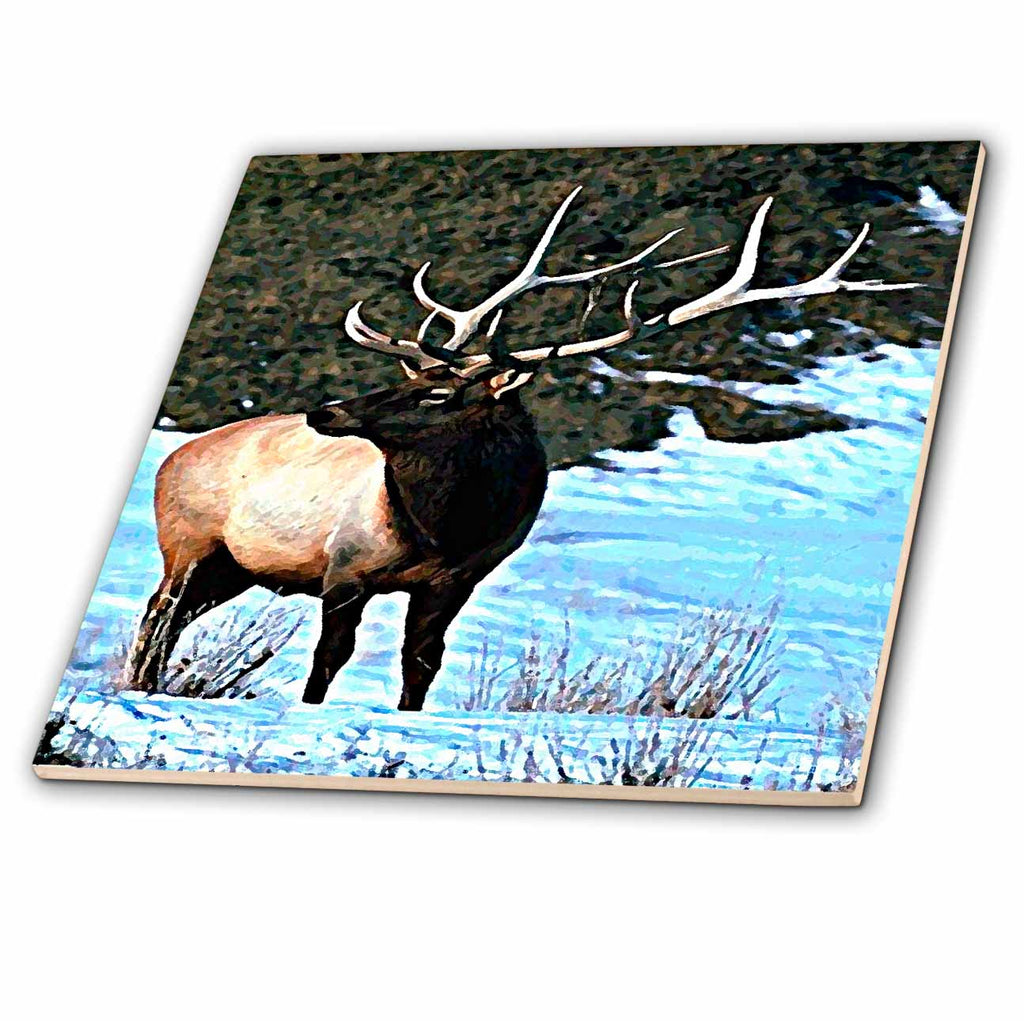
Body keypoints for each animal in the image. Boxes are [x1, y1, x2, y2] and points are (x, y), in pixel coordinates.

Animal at [123, 186, 916, 711]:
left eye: (436, 396)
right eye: (407, 379)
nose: (325, 410)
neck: (446, 524)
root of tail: (171, 460)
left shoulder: (457, 580)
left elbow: (421, 664)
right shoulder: (345, 565)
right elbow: (329, 659)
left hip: (232, 567)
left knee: (166, 622)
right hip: (190, 545)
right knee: (156, 618)